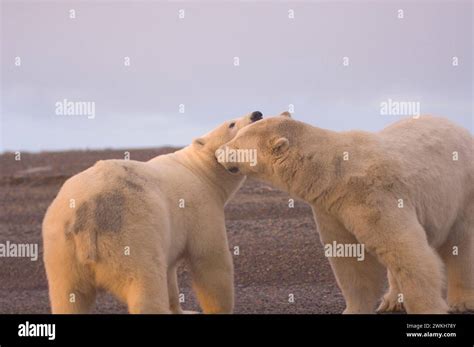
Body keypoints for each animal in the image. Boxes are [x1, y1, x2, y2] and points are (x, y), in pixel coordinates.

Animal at [41, 111, 262, 316]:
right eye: (232, 124)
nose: (257, 114)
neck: (199, 170)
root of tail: (88, 215)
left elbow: (170, 272)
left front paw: (183, 310)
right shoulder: (201, 207)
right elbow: (211, 260)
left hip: (61, 250)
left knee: (69, 296)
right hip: (131, 235)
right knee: (144, 285)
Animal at [218, 113, 474, 314]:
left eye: (238, 145)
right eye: (237, 134)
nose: (220, 152)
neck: (335, 172)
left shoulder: (375, 196)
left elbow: (408, 252)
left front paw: (427, 308)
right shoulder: (332, 209)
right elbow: (351, 260)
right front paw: (354, 309)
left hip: (462, 191)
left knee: (461, 244)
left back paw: (462, 301)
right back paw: (392, 301)